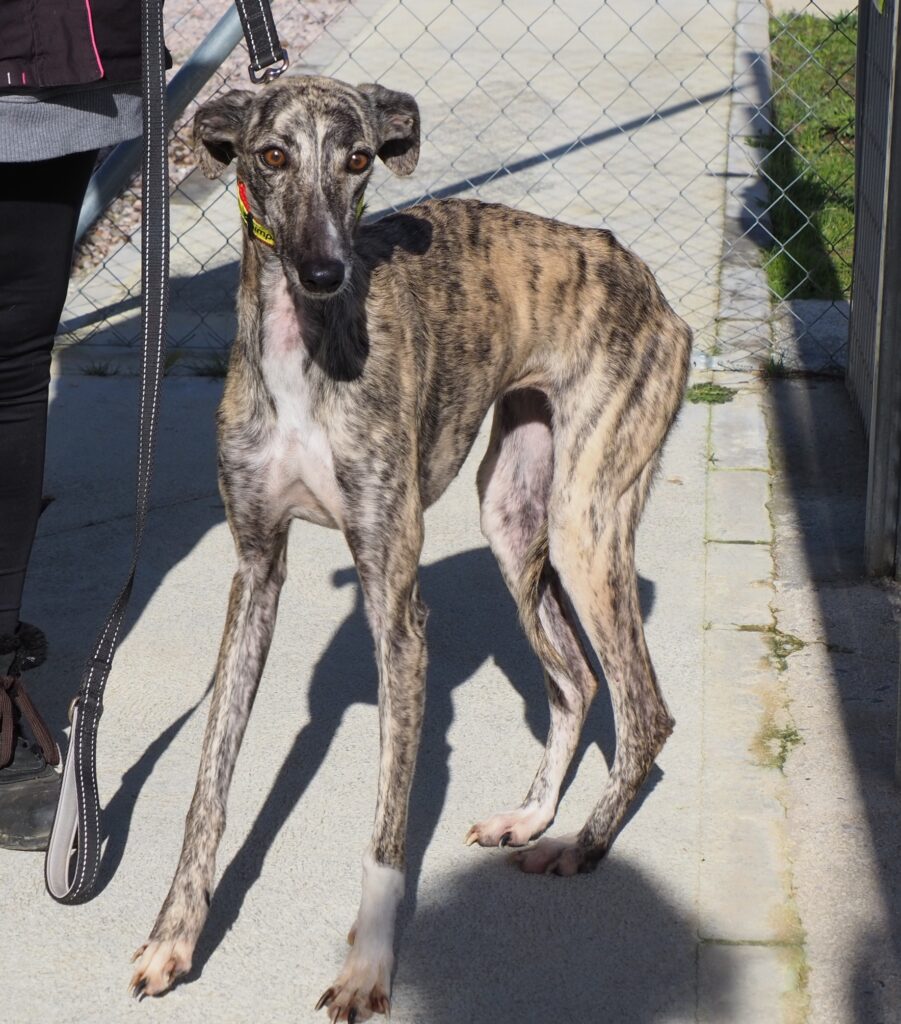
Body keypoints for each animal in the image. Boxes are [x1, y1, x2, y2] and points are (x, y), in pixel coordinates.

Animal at [129, 75, 692, 1022]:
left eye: (358, 159)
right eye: (270, 155)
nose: (324, 271)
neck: (304, 353)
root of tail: (642, 276)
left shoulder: (395, 605)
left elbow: (388, 828)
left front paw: (368, 968)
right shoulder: (255, 570)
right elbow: (210, 780)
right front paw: (174, 935)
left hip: (585, 519)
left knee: (644, 709)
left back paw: (580, 845)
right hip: (513, 511)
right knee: (577, 681)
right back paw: (531, 819)